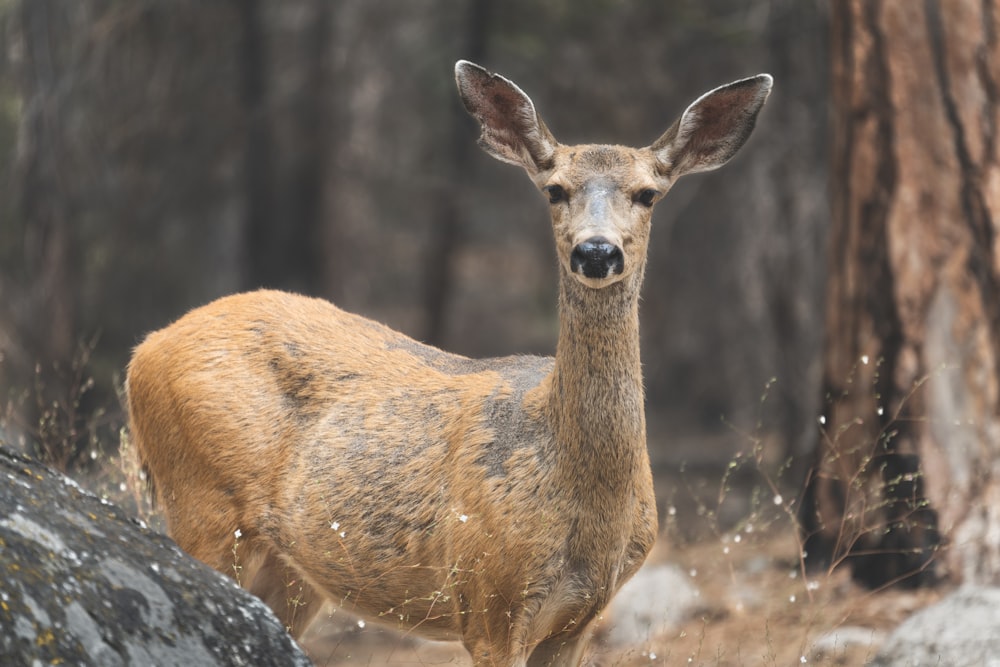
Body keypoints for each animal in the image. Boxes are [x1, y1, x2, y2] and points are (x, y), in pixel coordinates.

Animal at [125, 60, 772, 664]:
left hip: (295, 567)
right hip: (203, 502)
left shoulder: (581, 620)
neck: (587, 506)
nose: (595, 251)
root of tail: (142, 351)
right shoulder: (489, 595)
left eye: (647, 193)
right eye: (555, 189)